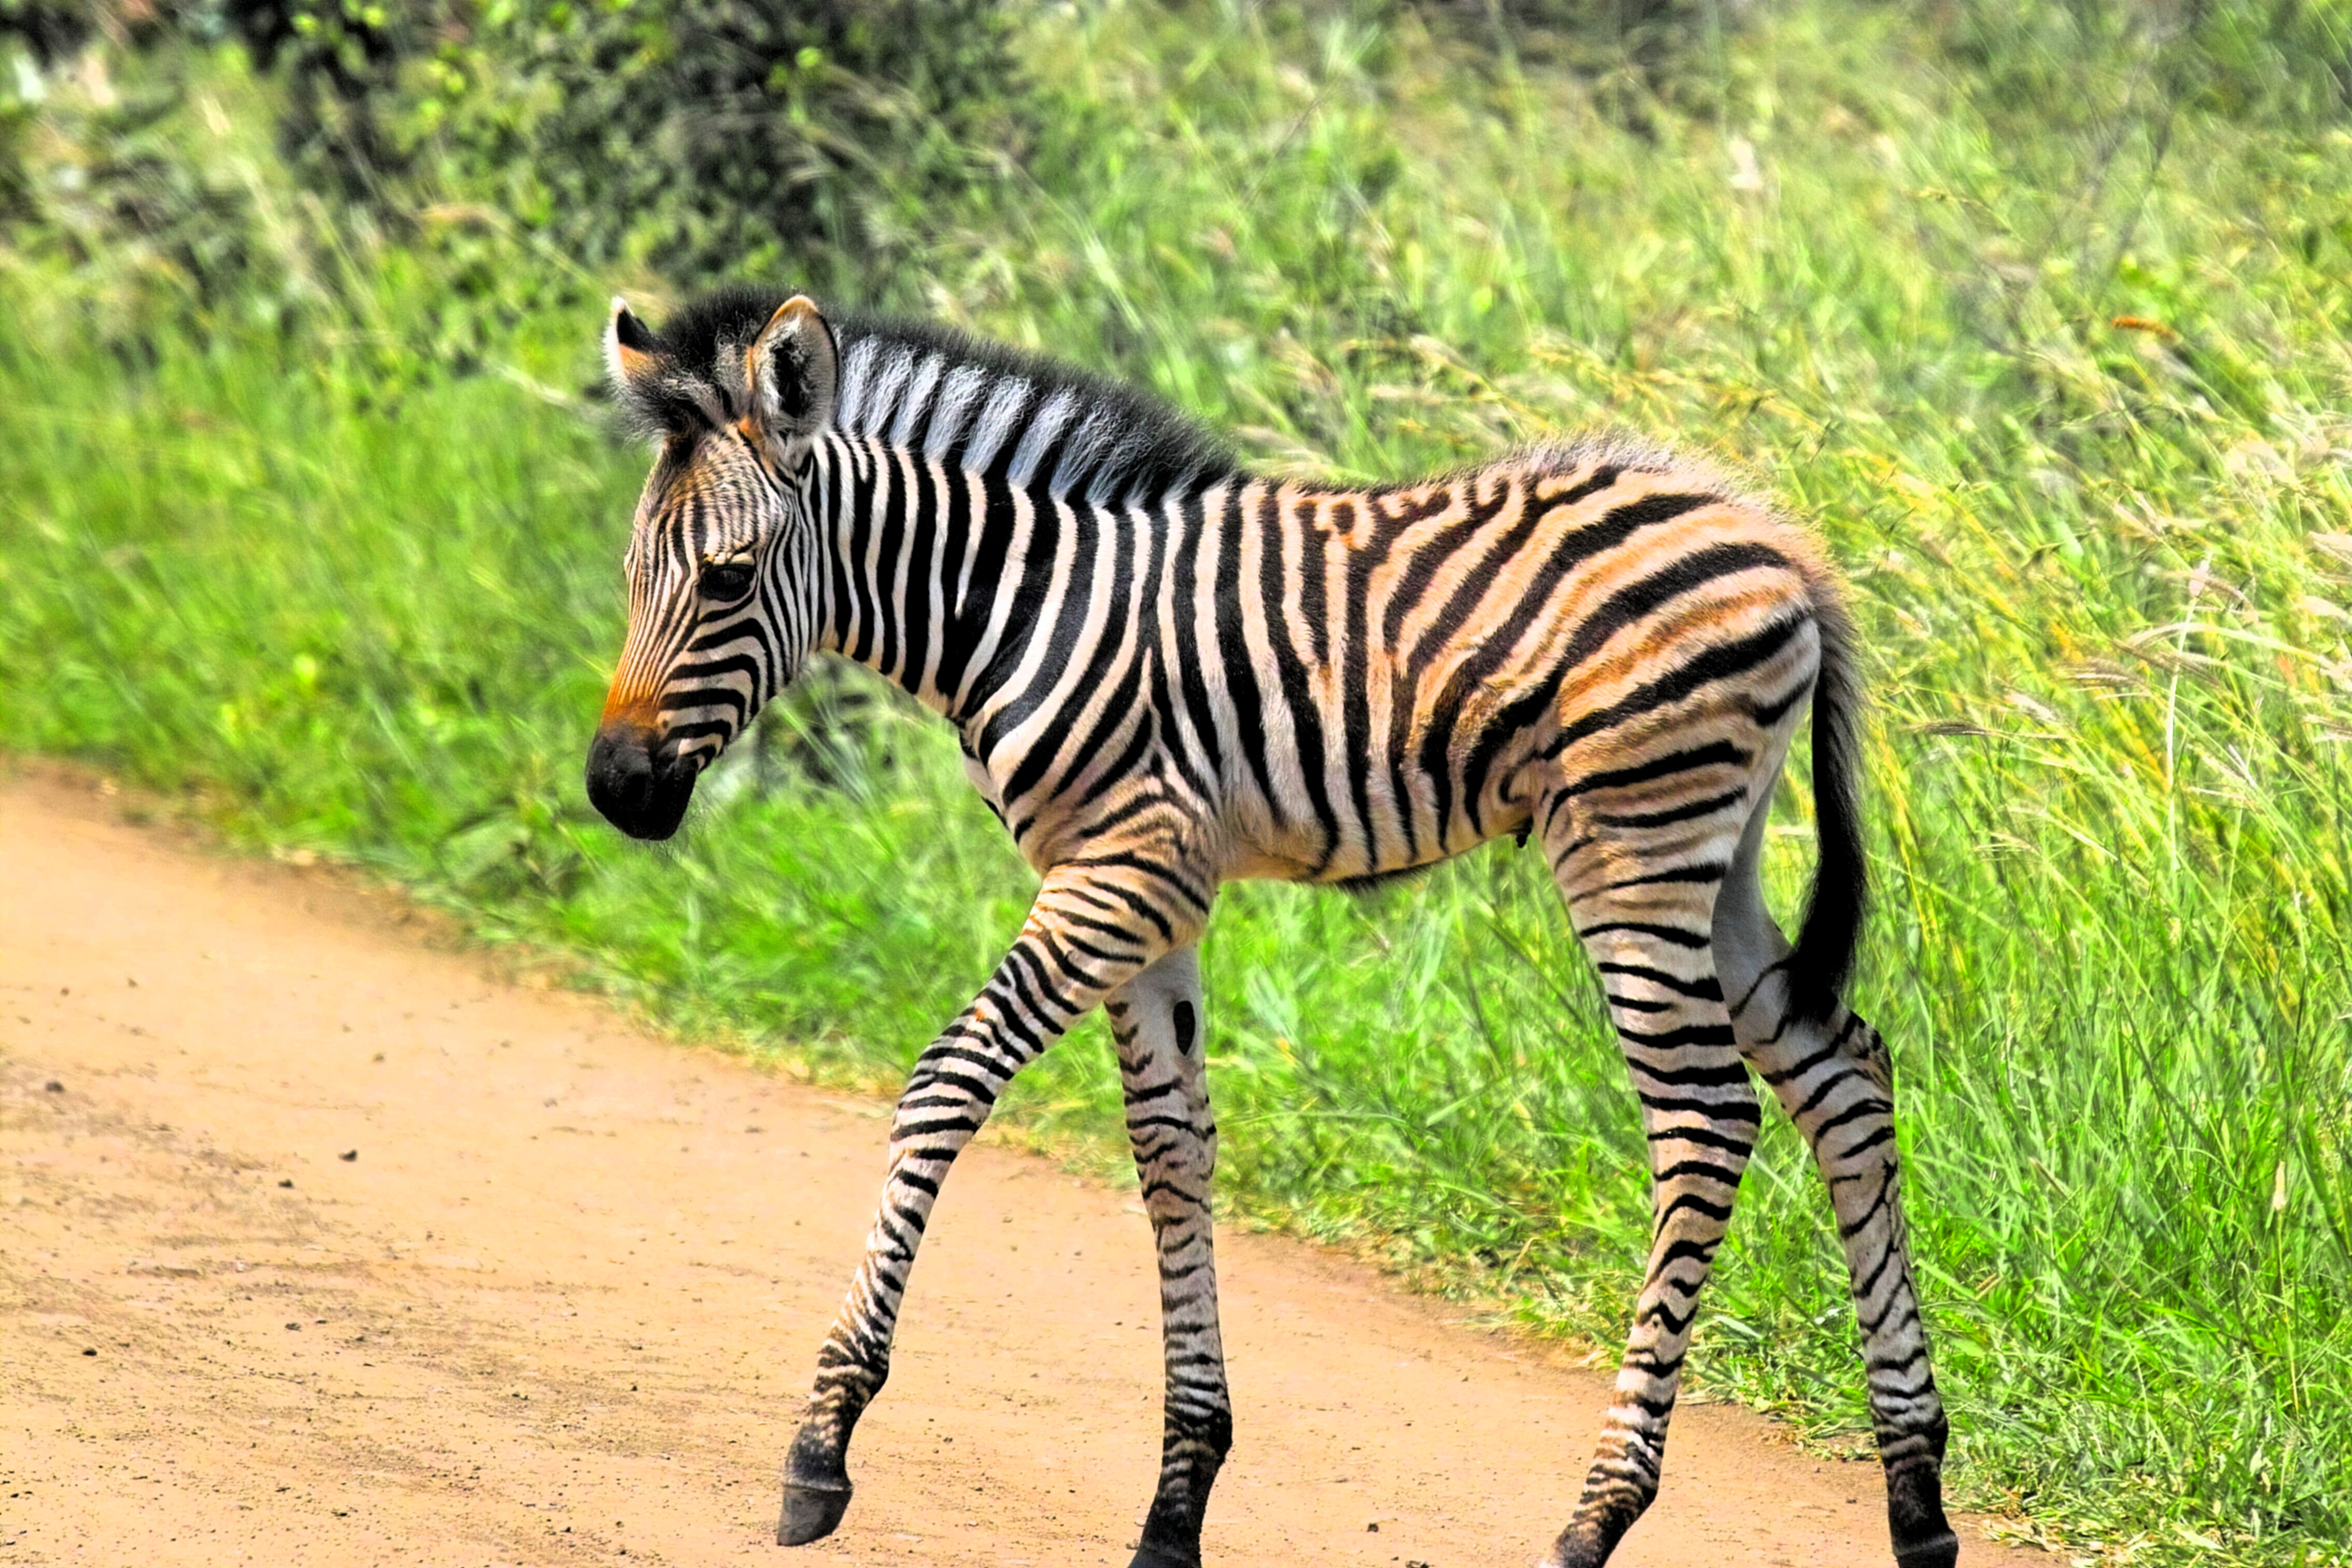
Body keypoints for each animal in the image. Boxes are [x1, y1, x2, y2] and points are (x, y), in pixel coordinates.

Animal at [582, 287, 1959, 1568]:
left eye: (728, 579)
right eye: (633, 578)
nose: (614, 792)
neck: (1015, 606)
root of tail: (1777, 540)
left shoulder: (1119, 867)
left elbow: (946, 1084)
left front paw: (822, 1443)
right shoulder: (1151, 892)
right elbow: (1171, 1153)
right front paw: (1178, 1499)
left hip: (1633, 844)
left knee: (1706, 1120)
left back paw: (1598, 1514)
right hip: (1714, 862)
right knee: (1846, 1079)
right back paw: (1917, 1495)